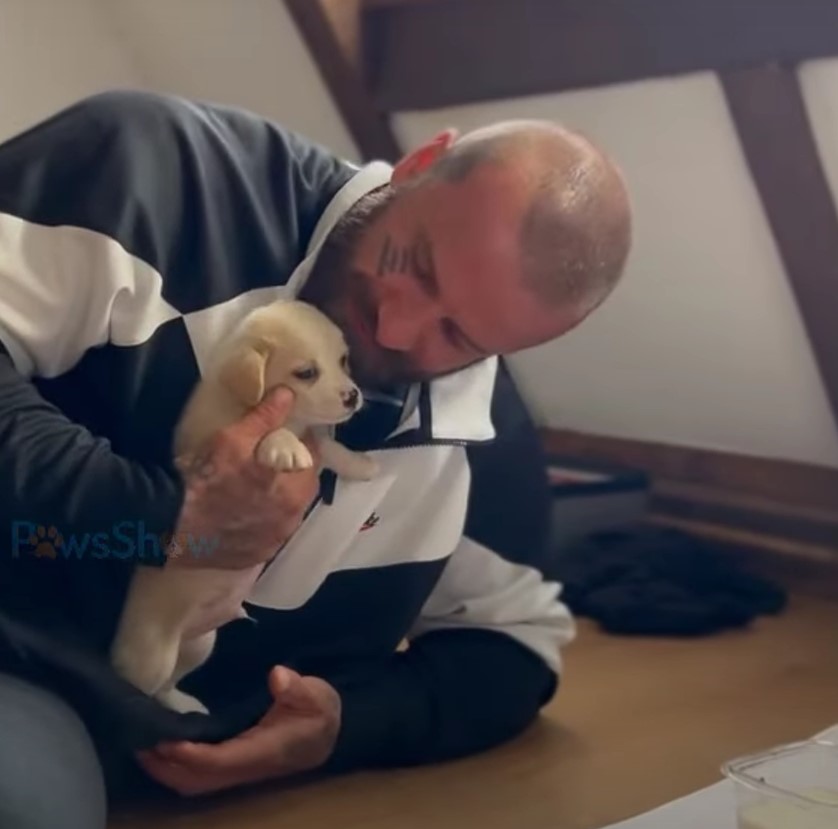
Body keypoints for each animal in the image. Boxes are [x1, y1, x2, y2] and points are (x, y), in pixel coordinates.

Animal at [110, 300, 378, 716]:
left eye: (343, 360)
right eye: (306, 373)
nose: (352, 395)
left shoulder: (314, 438)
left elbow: (330, 447)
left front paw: (361, 464)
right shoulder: (209, 445)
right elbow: (271, 433)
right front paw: (285, 446)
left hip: (200, 646)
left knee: (167, 686)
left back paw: (184, 704)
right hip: (151, 656)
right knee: (140, 684)